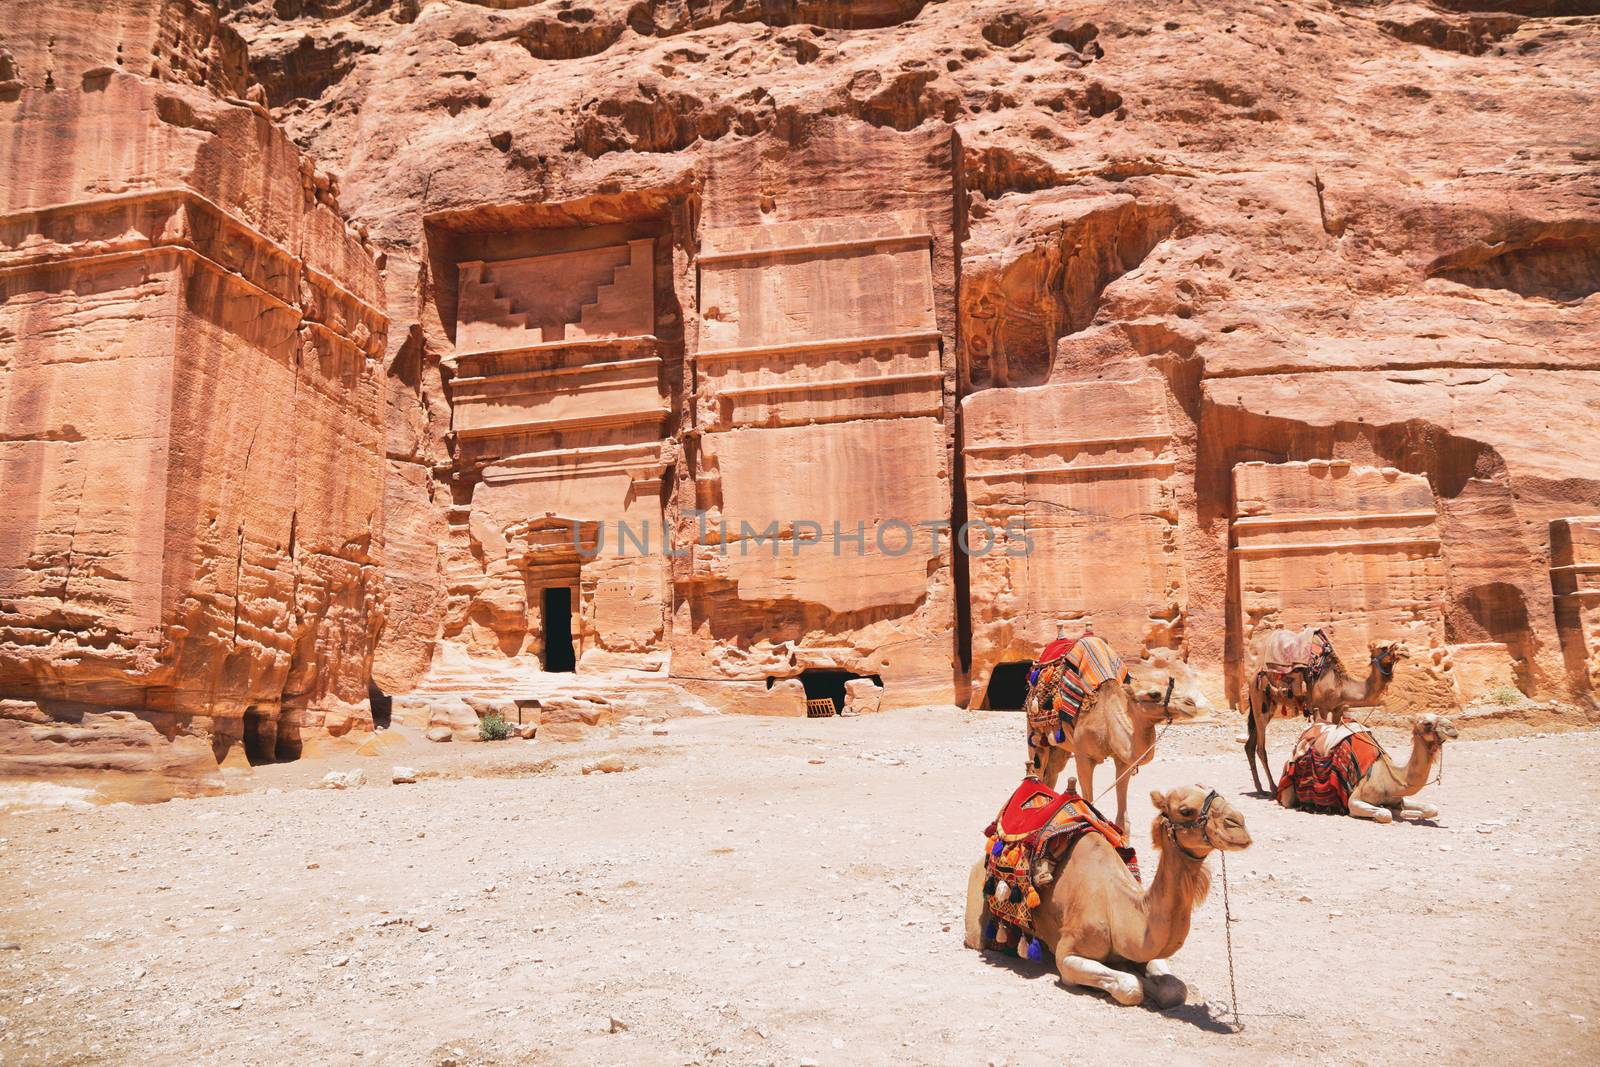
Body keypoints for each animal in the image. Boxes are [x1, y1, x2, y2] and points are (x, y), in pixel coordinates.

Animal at [960, 780, 1248, 1004]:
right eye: (1186, 810)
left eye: (1219, 795)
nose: (1239, 824)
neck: (1117, 906)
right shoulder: (1067, 954)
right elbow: (1131, 987)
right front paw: (1133, 977)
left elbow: (1174, 989)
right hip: (977, 915)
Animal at [1024, 652, 1209, 831]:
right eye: (1154, 694)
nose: (1190, 704)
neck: (1106, 720)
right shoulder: (1083, 756)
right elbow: (1088, 804)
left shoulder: (1124, 761)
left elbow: (1123, 820)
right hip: (1035, 735)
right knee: (1038, 770)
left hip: (1060, 747)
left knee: (1052, 773)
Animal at [1241, 633, 1408, 793]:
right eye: (1384, 646)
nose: (1405, 650)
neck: (1341, 686)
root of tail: (1252, 677)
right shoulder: (1321, 707)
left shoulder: (1337, 709)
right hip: (1260, 701)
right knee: (1260, 747)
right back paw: (1272, 787)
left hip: (1267, 706)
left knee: (1249, 745)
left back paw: (1259, 787)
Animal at [1273, 713, 1465, 825]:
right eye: (1426, 723)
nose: (1453, 729)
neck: (1391, 777)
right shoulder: (1354, 800)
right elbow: (1385, 814)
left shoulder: (1397, 797)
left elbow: (1432, 808)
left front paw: (1407, 813)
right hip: (1288, 791)